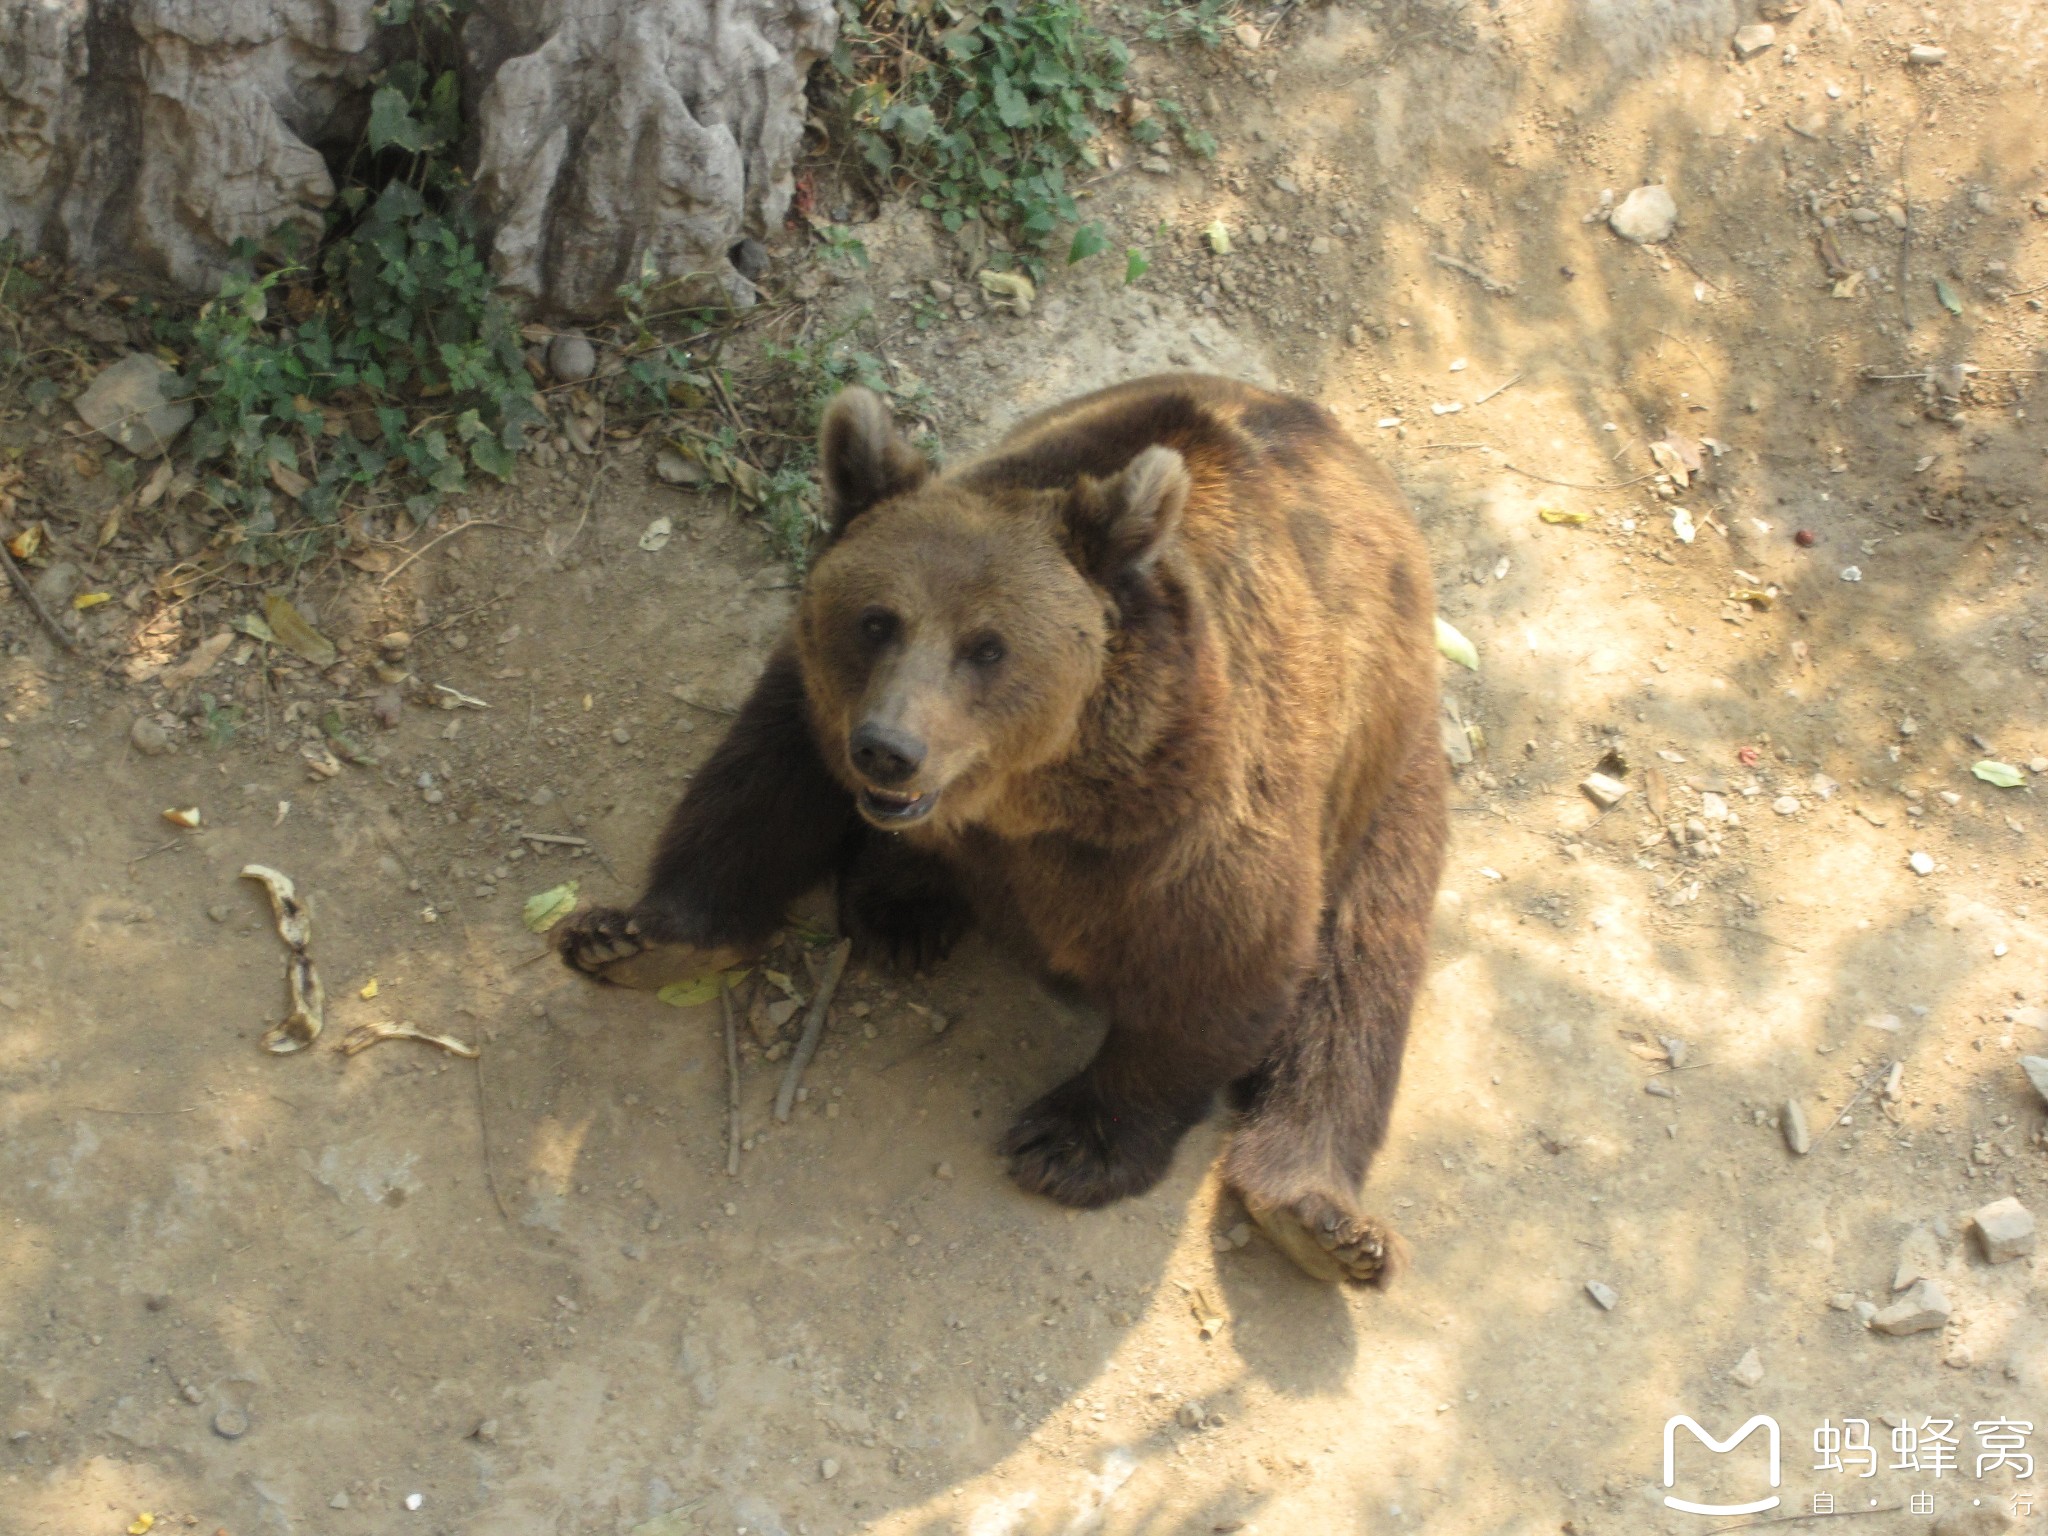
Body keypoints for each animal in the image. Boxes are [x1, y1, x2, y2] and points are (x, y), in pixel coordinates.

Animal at [561, 376, 1449, 1286]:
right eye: (876, 620)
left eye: (988, 647)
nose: (888, 749)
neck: (1034, 796)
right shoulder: (819, 707)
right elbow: (758, 789)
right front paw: (637, 937)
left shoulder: (1200, 801)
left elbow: (1225, 959)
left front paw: (1072, 1145)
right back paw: (891, 912)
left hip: (1388, 775)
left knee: (1360, 972)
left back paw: (1317, 1216)